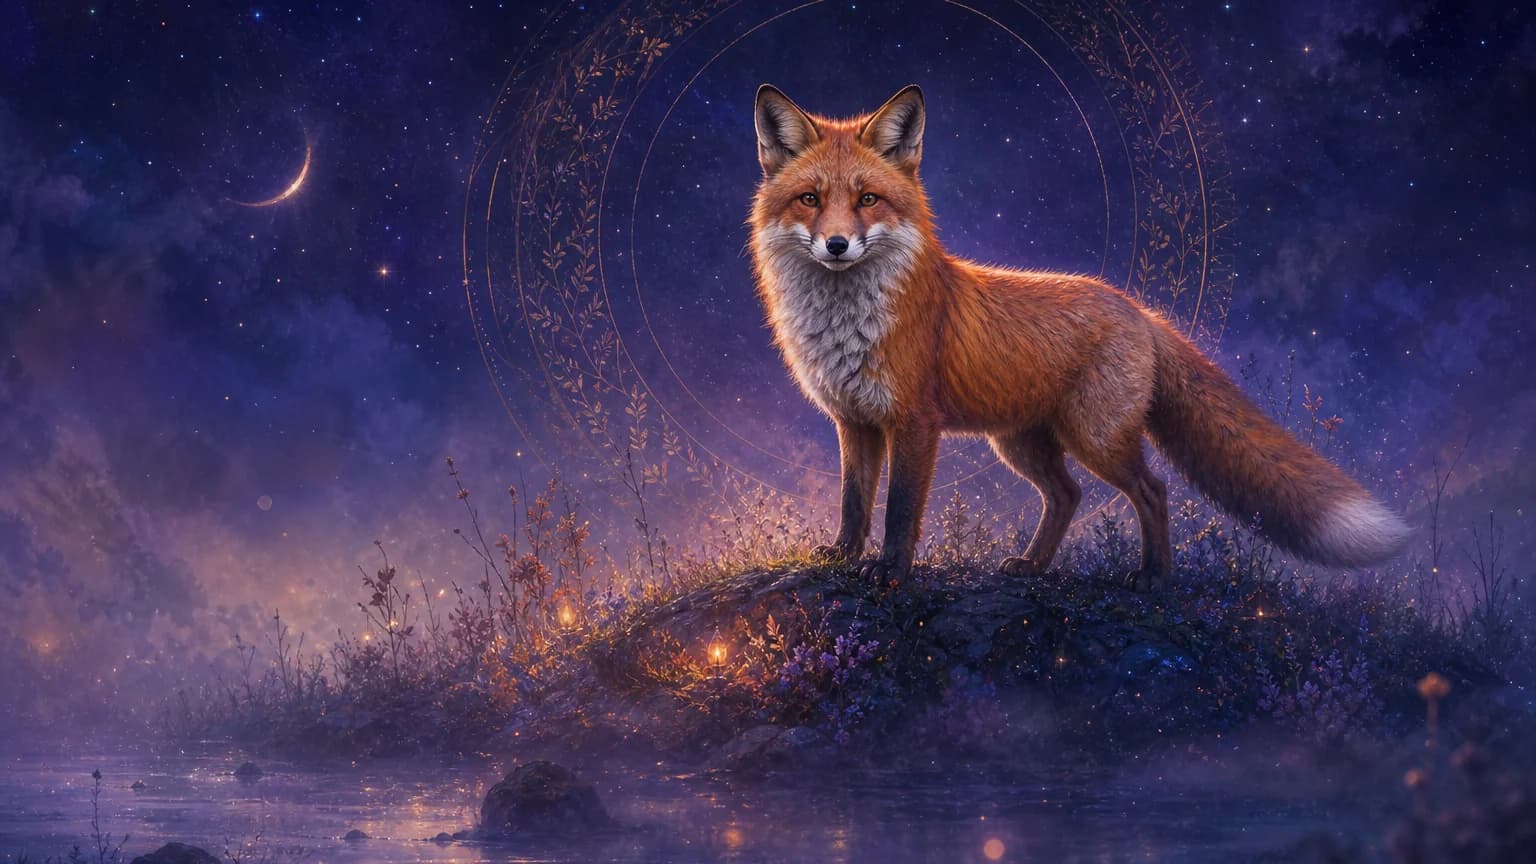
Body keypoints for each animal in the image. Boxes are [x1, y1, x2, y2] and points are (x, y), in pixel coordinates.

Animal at [748, 84, 1411, 589]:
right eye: (809, 199)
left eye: (868, 199)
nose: (837, 245)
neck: (845, 327)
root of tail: (1140, 310)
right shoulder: (854, 421)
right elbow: (854, 500)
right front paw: (842, 556)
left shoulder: (914, 420)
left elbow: (900, 507)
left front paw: (890, 571)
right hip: (1022, 443)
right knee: (1068, 496)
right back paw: (1034, 566)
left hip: (1094, 437)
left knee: (1153, 490)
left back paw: (1154, 578)